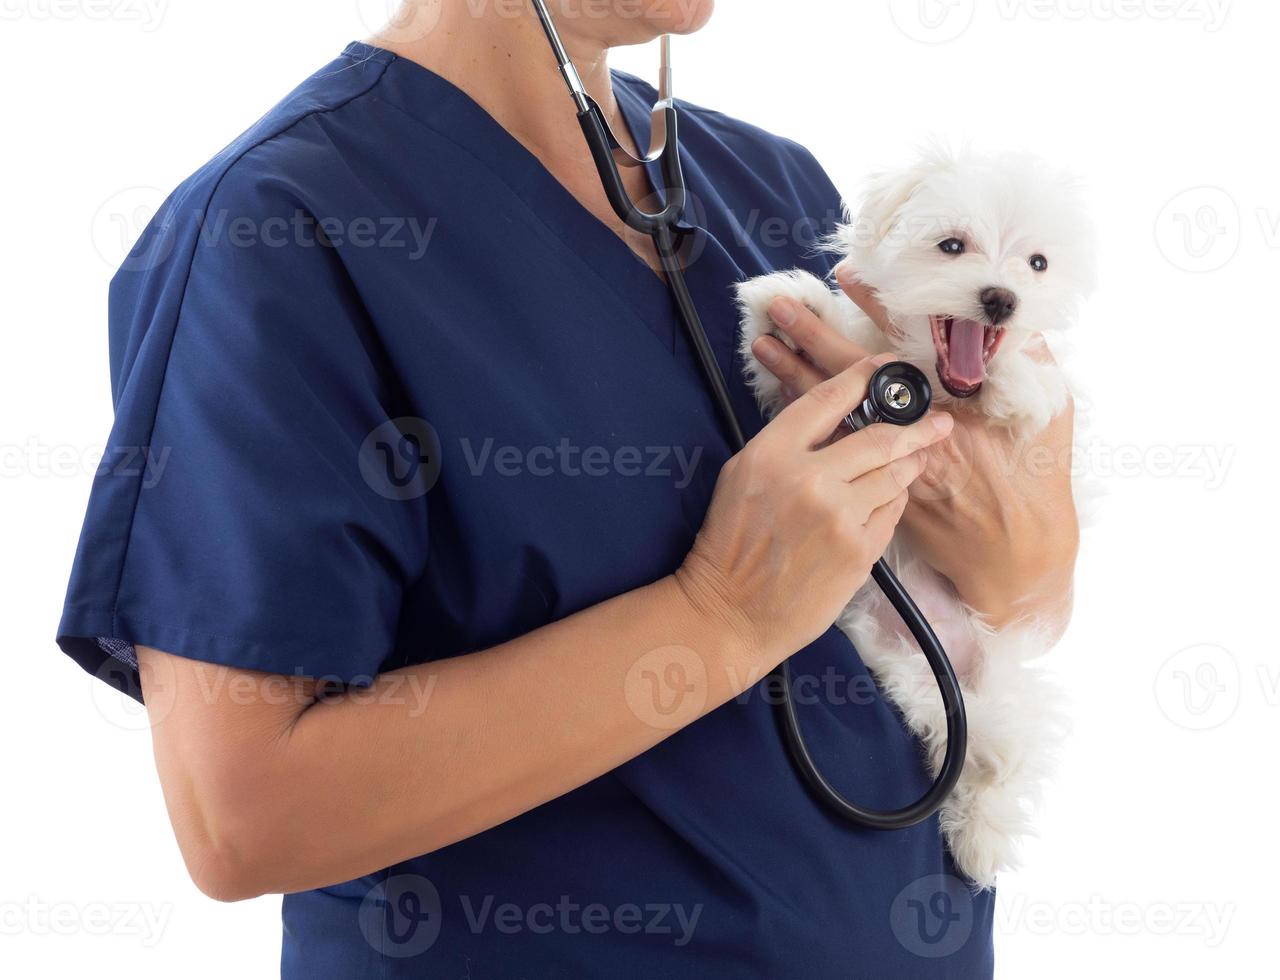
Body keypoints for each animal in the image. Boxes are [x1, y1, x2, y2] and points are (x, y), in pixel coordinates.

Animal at [737, 145, 1095, 890]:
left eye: (1037, 263)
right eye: (952, 246)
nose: (1000, 299)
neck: (943, 390)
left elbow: (1036, 384)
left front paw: (1017, 385)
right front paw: (786, 310)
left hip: (1007, 668)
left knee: (1008, 745)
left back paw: (983, 824)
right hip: (887, 646)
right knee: (936, 713)